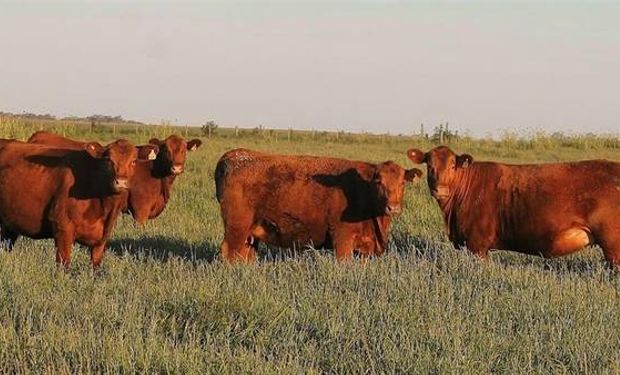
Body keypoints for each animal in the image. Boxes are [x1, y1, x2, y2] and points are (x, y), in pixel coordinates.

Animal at [0, 140, 139, 268]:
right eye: (108, 160)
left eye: (133, 162)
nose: (121, 182)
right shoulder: (62, 227)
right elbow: (64, 264)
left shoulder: (102, 239)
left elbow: (96, 266)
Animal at [213, 148, 422, 262]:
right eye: (378, 182)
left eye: (403, 183)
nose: (393, 207)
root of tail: (234, 156)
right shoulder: (342, 240)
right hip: (236, 227)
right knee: (229, 252)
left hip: (250, 233)